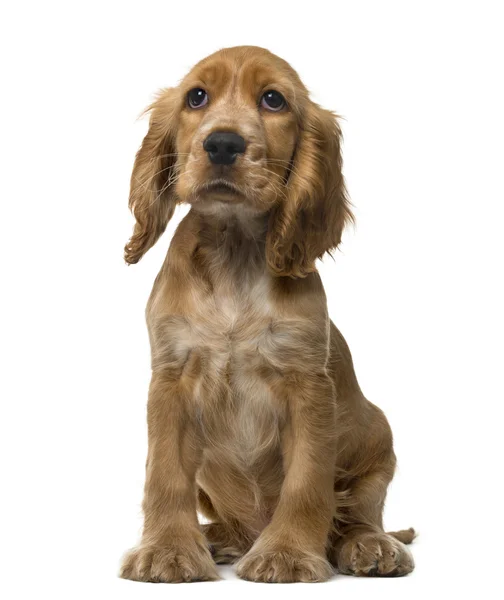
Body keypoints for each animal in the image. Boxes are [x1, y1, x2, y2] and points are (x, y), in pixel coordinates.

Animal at [120, 48, 416, 584]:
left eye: (273, 100)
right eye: (196, 96)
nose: (222, 143)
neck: (236, 249)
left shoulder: (307, 386)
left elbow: (307, 482)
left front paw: (288, 553)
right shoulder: (170, 380)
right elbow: (165, 475)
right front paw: (168, 549)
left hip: (378, 441)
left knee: (358, 513)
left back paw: (370, 545)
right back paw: (216, 539)